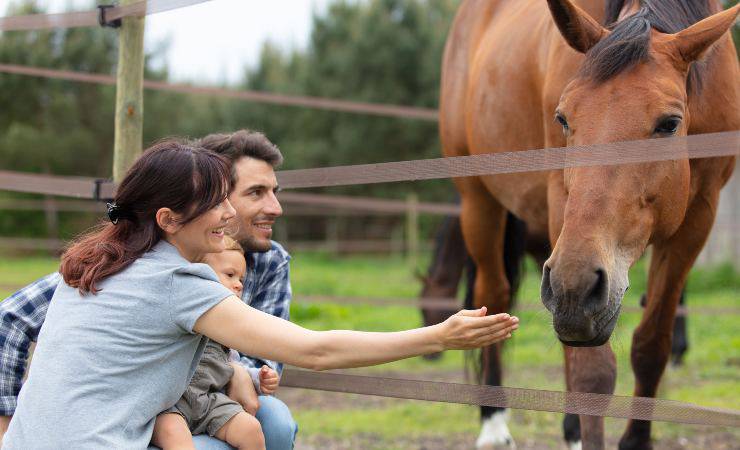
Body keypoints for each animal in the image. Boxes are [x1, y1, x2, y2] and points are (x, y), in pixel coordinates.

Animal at [442, 0, 736, 450]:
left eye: (670, 123)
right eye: (563, 119)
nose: (575, 286)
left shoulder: (698, 216)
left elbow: (651, 345)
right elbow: (593, 371)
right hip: (481, 202)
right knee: (494, 294)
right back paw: (493, 423)